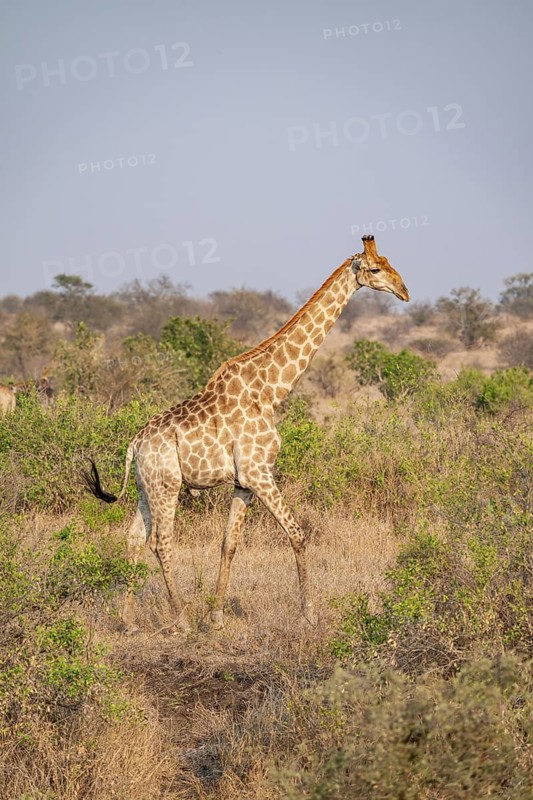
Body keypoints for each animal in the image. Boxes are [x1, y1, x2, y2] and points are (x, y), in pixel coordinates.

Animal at [83, 235, 410, 632]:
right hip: (167, 484)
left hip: (147, 486)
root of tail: (135, 443)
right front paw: (309, 614)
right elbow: (297, 534)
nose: (405, 291)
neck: (272, 390)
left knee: (133, 538)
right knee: (161, 542)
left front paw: (216, 618)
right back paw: (181, 620)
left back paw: (129, 620)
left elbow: (229, 544)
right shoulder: (259, 472)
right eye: (375, 269)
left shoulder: (243, 482)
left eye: (390, 262)